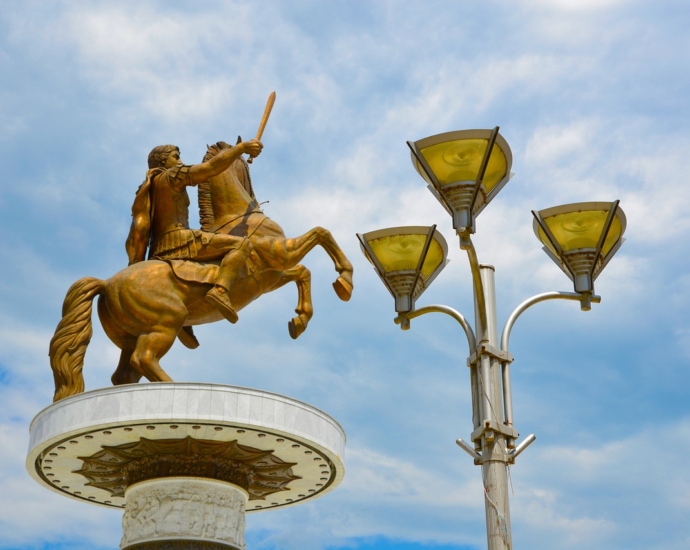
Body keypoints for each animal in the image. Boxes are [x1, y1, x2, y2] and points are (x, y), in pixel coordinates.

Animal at [48, 144, 352, 404]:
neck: (238, 220)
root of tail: (106, 283)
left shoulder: (270, 277)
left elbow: (303, 272)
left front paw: (299, 320)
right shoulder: (281, 253)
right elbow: (321, 234)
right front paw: (344, 281)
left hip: (130, 336)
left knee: (124, 374)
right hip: (166, 322)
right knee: (143, 359)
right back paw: (176, 389)